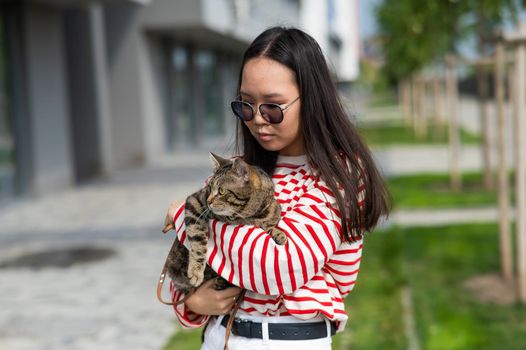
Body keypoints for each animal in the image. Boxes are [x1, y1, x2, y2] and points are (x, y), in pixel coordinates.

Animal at [164, 152, 288, 292]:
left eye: (221, 191)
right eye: (209, 187)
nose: (209, 201)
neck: (244, 215)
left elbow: (269, 224)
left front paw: (279, 234)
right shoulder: (195, 202)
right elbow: (197, 240)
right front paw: (196, 271)